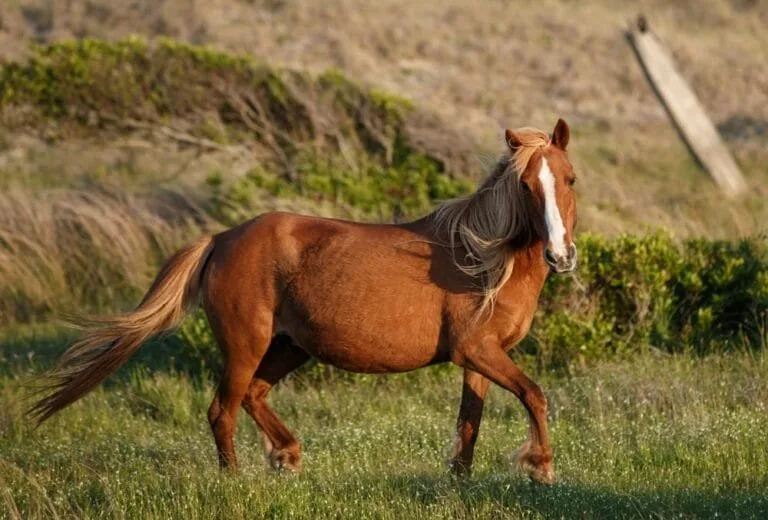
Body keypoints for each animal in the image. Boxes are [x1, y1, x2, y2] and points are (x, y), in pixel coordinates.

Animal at [30, 118, 577, 485]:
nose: (561, 255)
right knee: (222, 409)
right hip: (245, 345)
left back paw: (287, 455)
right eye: (525, 185)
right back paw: (235, 482)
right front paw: (541, 468)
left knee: (252, 396)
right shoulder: (476, 350)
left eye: (569, 179)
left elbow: (470, 421)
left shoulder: (479, 358)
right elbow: (535, 394)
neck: (484, 260)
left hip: (291, 346)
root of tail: (221, 239)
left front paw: (458, 482)